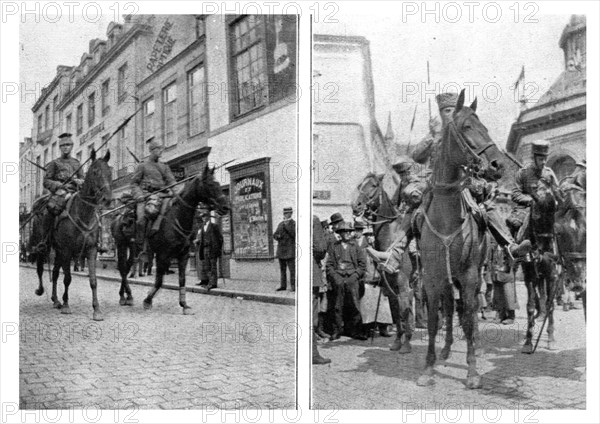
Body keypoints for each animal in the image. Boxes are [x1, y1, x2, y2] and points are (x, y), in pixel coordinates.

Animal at [30, 151, 112, 320]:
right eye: (95, 172)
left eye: (110, 172)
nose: (107, 199)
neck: (83, 213)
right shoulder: (67, 251)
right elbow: (67, 278)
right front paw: (67, 306)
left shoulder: (91, 250)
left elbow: (93, 280)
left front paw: (97, 310)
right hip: (45, 246)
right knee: (40, 268)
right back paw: (41, 291)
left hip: (58, 251)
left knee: (55, 273)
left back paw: (56, 300)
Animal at [118, 165, 229, 314]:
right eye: (210, 184)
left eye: (217, 184)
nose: (225, 207)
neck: (176, 217)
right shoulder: (162, 255)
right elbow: (159, 281)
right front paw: (147, 301)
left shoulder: (183, 255)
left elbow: (182, 279)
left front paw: (184, 305)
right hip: (121, 245)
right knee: (122, 268)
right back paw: (124, 297)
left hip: (133, 248)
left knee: (126, 267)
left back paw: (127, 296)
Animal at [418, 90, 510, 390]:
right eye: (468, 127)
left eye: (486, 127)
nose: (498, 165)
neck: (446, 216)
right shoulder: (432, 278)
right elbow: (434, 320)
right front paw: (429, 368)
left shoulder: (469, 275)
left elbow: (469, 316)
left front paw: (472, 371)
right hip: (448, 279)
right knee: (449, 308)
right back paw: (446, 350)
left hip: (475, 275)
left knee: (471, 311)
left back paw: (477, 347)